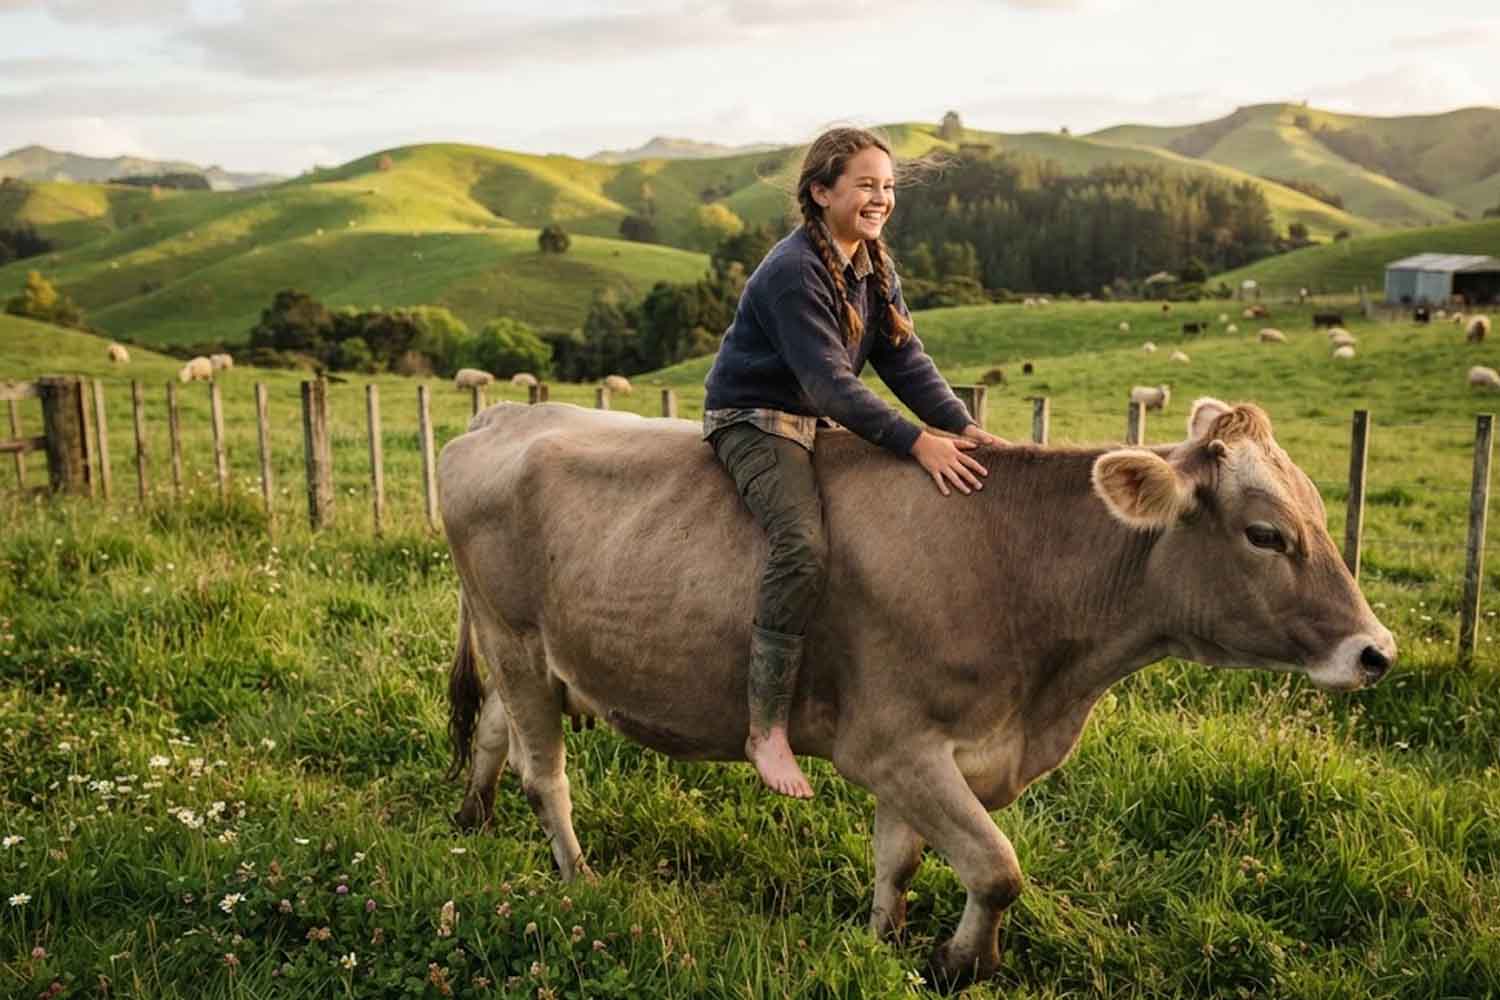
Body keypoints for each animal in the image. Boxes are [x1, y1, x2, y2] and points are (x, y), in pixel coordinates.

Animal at [439, 398, 1395, 987]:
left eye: (1319, 512)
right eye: (1265, 534)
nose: (1376, 652)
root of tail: (500, 416)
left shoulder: (926, 754)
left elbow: (898, 859)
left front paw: (882, 941)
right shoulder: (891, 745)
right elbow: (997, 867)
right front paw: (961, 964)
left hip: (519, 652)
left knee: (490, 733)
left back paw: (472, 820)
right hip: (519, 642)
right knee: (544, 773)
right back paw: (579, 876)